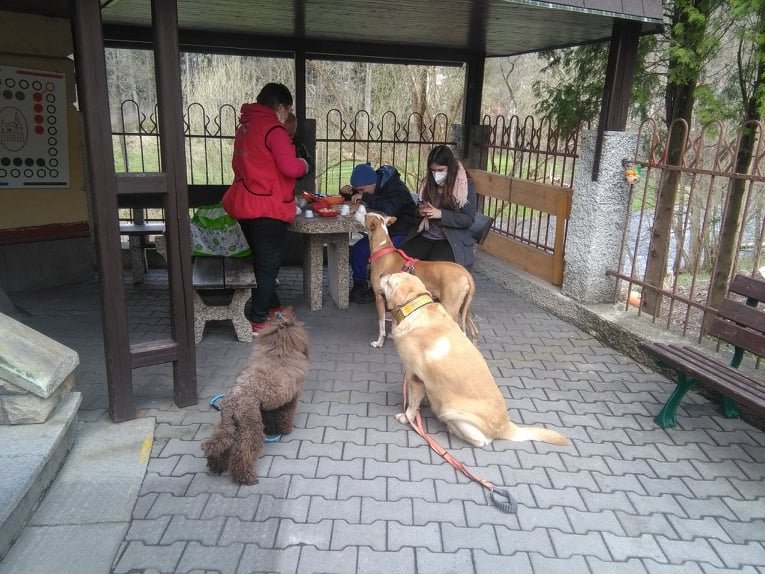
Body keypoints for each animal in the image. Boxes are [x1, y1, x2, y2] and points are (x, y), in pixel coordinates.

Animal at [201, 312, 310, 484]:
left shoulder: (267, 404)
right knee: (243, 453)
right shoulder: (289, 400)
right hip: (251, 426)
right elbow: (285, 415)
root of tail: (233, 401)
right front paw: (285, 430)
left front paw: (272, 429)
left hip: (227, 424)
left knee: (222, 443)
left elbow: (271, 417)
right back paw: (245, 476)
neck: (278, 352)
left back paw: (216, 465)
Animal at [357, 211, 478, 348]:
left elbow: (382, 326)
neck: (383, 250)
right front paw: (394, 335)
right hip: (463, 308)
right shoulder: (393, 300)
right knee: (474, 331)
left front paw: (379, 343)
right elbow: (394, 322)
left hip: (450, 307)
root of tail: (466, 274)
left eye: (366, 215)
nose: (357, 211)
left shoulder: (379, 298)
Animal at [380, 272, 568, 448]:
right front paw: (424, 402)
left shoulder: (414, 377)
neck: (414, 309)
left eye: (389, 281)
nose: (381, 274)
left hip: (451, 411)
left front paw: (407, 417)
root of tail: (506, 426)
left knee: (481, 441)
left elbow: (412, 404)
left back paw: (451, 428)